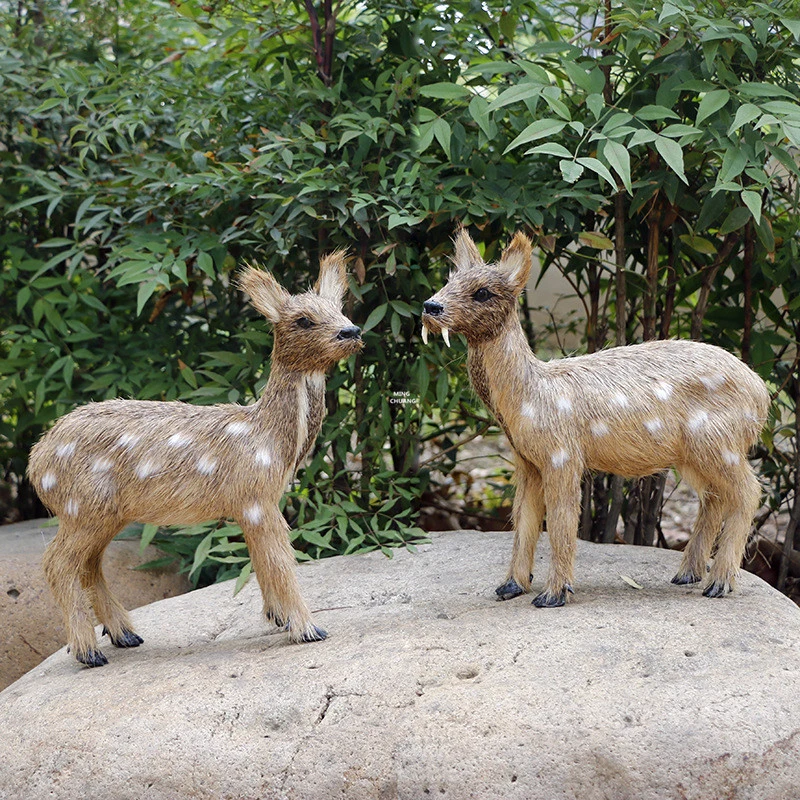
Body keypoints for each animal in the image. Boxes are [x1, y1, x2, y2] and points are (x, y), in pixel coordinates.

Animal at [28, 252, 363, 667]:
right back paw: (88, 652)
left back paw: (125, 635)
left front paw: (279, 619)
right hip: (81, 505)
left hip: (103, 512)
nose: (352, 331)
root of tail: (35, 462)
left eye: (340, 308)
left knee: (89, 565)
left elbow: (261, 561)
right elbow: (281, 561)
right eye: (303, 319)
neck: (269, 437)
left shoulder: (250, 504)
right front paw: (307, 629)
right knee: (56, 563)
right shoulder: (255, 497)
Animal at [421, 229, 770, 608]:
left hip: (718, 439)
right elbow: (523, 521)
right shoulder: (527, 462)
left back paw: (719, 583)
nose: (430, 306)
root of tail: (762, 396)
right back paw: (687, 574)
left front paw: (553, 594)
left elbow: (561, 522)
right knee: (715, 497)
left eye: (483, 292)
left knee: (749, 491)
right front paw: (511, 586)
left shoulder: (562, 454)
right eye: (449, 280)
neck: (531, 398)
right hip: (694, 454)